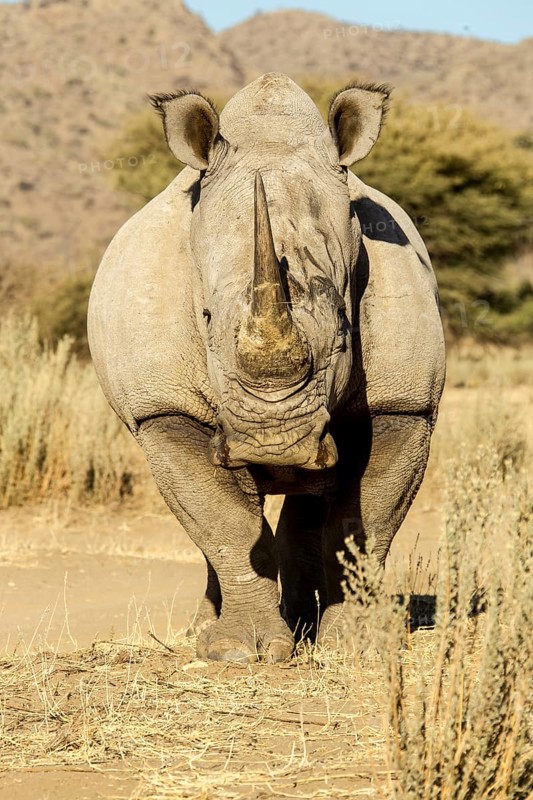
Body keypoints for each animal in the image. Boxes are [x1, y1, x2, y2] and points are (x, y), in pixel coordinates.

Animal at [88, 73, 445, 663]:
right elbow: (224, 521)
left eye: (345, 324)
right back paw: (209, 631)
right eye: (206, 318)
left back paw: (303, 624)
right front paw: (239, 652)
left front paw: (359, 645)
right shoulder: (162, 409)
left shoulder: (407, 403)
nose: (274, 446)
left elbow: (362, 523)